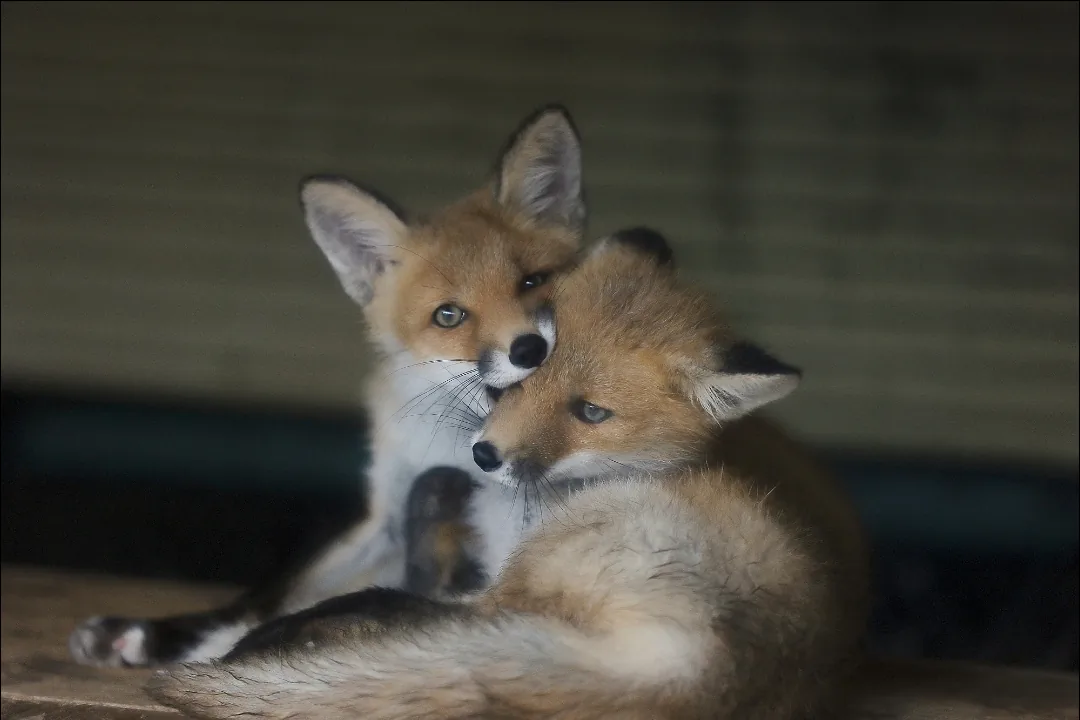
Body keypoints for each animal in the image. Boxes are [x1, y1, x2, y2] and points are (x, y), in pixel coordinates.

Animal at [68, 104, 588, 668]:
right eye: (449, 316)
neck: (458, 447)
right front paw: (188, 636)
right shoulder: (389, 513)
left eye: (534, 282)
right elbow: (269, 599)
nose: (528, 350)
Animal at [148, 229, 871, 720]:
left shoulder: (497, 571)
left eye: (590, 412)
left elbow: (393, 598)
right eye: (527, 369)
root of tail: (712, 676)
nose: (486, 457)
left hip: (538, 573)